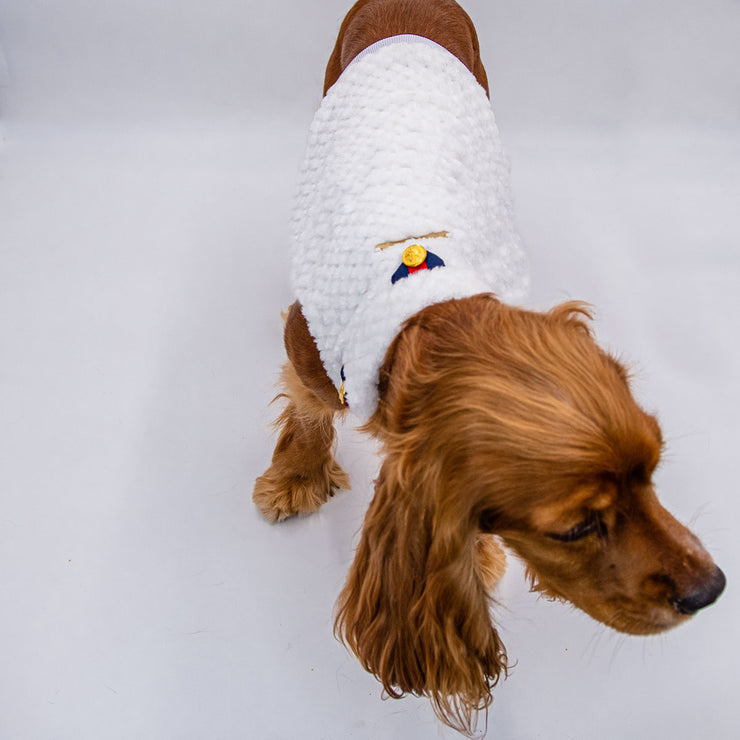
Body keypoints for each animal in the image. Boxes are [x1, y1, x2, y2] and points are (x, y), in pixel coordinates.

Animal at [253, 0, 726, 733]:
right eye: (577, 528)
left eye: (653, 474)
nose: (712, 590)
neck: (432, 307)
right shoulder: (308, 347)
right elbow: (307, 406)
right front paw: (296, 477)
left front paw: (476, 553)